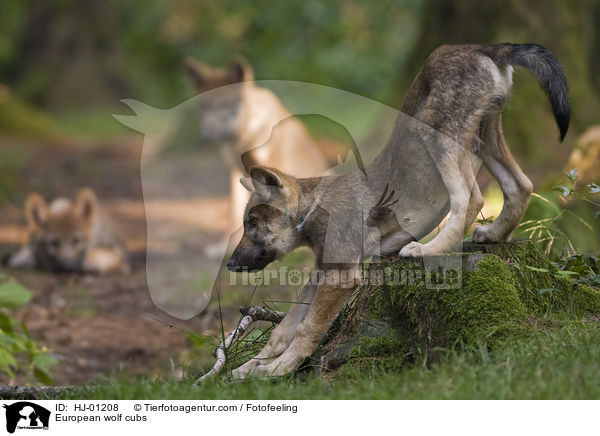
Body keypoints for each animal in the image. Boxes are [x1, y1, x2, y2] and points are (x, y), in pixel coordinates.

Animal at [223, 43, 568, 378]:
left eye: (252, 223)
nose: (230, 265)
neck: (316, 206)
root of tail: (485, 47)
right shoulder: (322, 270)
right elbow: (282, 330)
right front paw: (248, 367)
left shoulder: (340, 276)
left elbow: (306, 329)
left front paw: (278, 369)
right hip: (486, 131)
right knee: (520, 184)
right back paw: (493, 234)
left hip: (437, 133)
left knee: (471, 199)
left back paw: (428, 249)